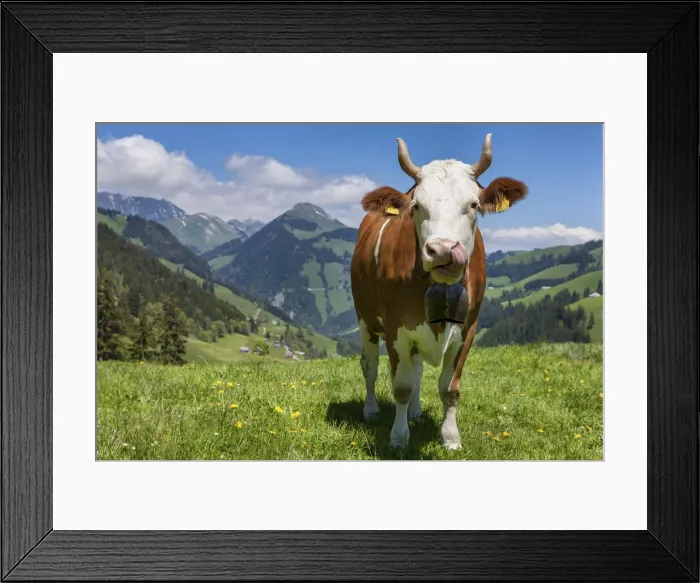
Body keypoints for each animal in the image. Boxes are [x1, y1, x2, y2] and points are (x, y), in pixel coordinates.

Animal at [350, 134, 528, 450]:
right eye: (416, 205)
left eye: (473, 204)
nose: (443, 250)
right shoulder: (396, 328)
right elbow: (401, 386)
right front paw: (398, 438)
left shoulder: (468, 328)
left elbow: (450, 388)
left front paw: (451, 438)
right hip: (365, 320)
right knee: (369, 365)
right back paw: (371, 410)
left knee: (418, 369)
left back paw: (416, 413)